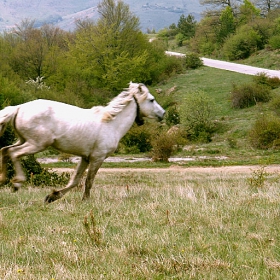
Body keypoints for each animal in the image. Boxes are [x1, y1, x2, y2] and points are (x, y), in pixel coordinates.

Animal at [0, 82, 165, 202]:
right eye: (151, 100)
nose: (163, 114)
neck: (111, 124)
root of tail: (19, 108)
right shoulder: (97, 158)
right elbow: (88, 180)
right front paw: (85, 200)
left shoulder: (85, 158)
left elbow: (75, 180)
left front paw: (52, 196)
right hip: (37, 144)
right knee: (14, 153)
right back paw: (16, 183)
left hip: (23, 140)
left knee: (4, 150)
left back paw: (3, 179)